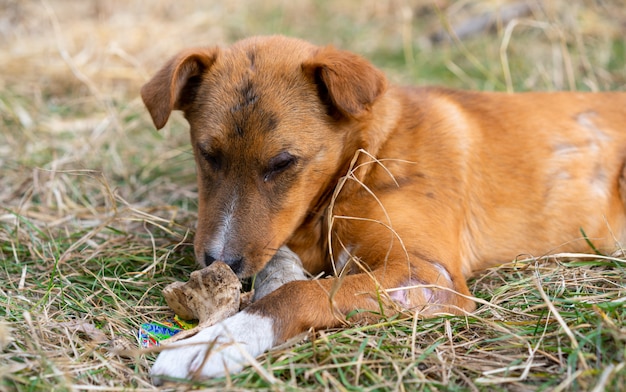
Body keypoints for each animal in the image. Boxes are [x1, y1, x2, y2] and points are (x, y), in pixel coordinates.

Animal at [140, 35, 624, 382]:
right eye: (207, 154)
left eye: (282, 163)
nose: (218, 263)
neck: (366, 161)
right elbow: (282, 264)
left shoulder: (428, 275)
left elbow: (300, 293)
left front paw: (217, 342)